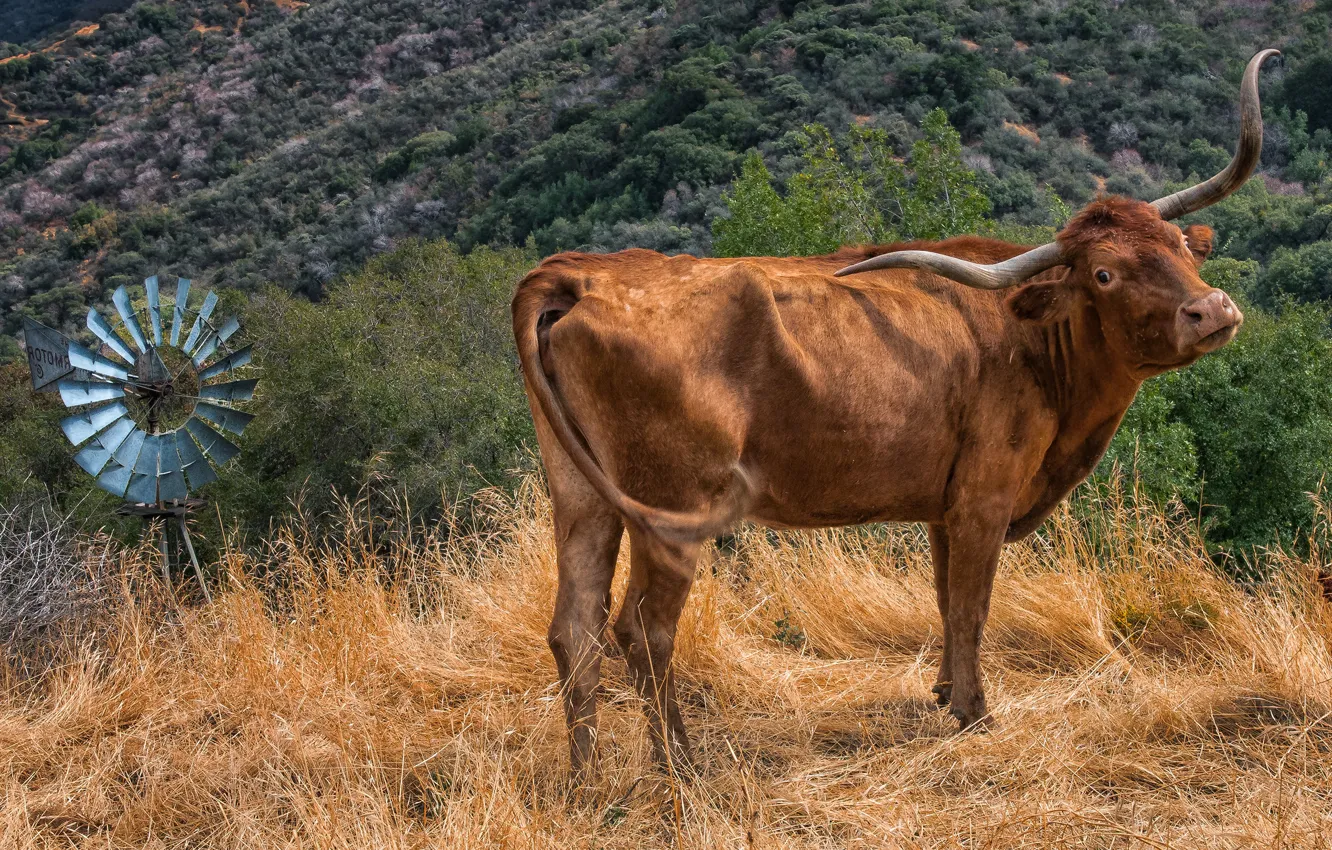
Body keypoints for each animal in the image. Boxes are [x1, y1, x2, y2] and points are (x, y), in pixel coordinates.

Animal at [512, 50, 1279, 778]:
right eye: (1104, 274)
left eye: (1178, 247)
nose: (1211, 310)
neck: (1032, 344)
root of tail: (581, 272)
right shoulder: (984, 497)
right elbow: (971, 605)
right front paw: (975, 713)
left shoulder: (945, 505)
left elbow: (943, 597)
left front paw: (944, 693)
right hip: (671, 507)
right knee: (643, 631)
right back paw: (683, 766)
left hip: (582, 498)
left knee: (574, 627)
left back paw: (588, 775)